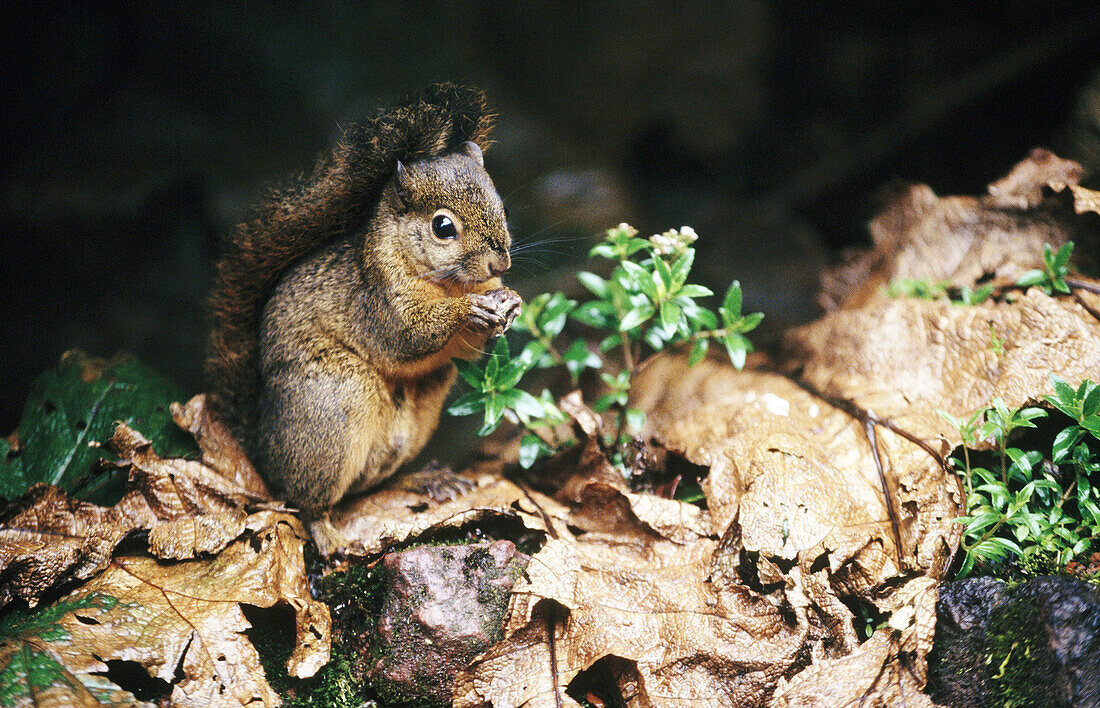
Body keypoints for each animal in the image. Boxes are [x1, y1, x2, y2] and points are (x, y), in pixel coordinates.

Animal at [206, 84, 523, 514]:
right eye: (443, 227)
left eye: (501, 206)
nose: (500, 263)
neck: (449, 284)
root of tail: (262, 452)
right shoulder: (377, 299)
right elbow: (407, 335)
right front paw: (467, 310)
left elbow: (467, 350)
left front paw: (511, 301)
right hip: (338, 401)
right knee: (306, 499)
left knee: (368, 486)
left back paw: (425, 479)